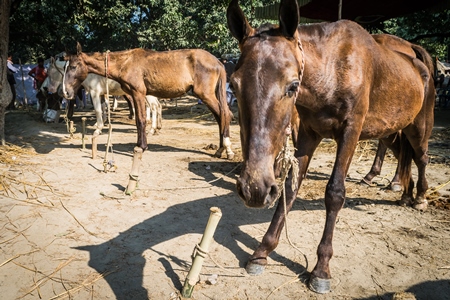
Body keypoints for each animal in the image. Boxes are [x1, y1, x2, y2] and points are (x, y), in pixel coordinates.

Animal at [63, 44, 236, 195]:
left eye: (73, 67)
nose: (66, 92)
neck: (125, 63)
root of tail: (217, 62)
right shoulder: (134, 94)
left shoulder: (138, 93)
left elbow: (140, 120)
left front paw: (141, 146)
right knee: (220, 116)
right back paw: (220, 149)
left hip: (205, 94)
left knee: (225, 114)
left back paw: (228, 149)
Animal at [227, 0, 434, 294]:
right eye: (233, 85)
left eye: (292, 86)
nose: (254, 189)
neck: (333, 68)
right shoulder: (308, 136)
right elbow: (289, 188)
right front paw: (262, 252)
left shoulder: (350, 132)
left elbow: (335, 193)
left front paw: (321, 269)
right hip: (392, 129)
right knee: (403, 155)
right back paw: (405, 193)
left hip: (419, 127)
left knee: (421, 157)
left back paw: (420, 197)